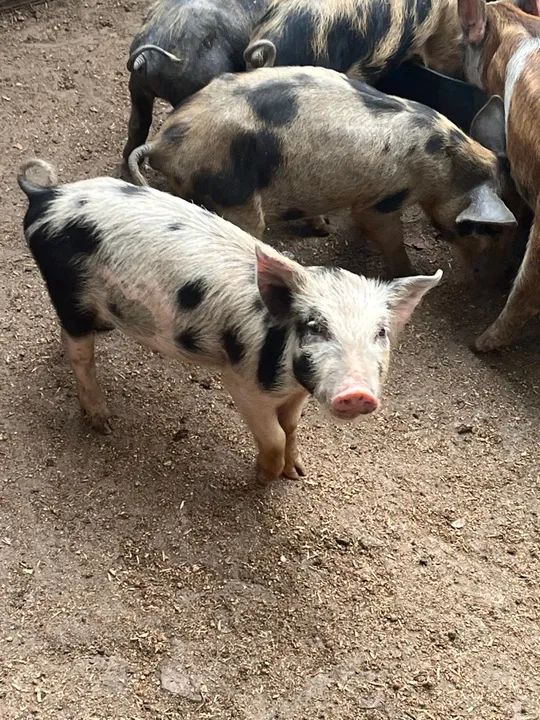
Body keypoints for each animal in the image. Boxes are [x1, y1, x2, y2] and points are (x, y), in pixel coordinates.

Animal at [18, 159, 442, 482]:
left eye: (380, 332)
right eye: (314, 327)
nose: (357, 393)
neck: (287, 377)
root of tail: (47, 196)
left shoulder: (296, 394)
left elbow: (291, 427)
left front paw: (297, 473)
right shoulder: (241, 382)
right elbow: (273, 435)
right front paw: (263, 479)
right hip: (67, 290)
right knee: (78, 352)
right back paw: (104, 422)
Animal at [128, 66, 516, 279]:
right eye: (479, 228)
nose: (487, 276)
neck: (447, 166)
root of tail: (166, 141)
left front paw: (325, 228)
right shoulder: (386, 197)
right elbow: (384, 232)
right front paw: (411, 272)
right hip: (233, 194)